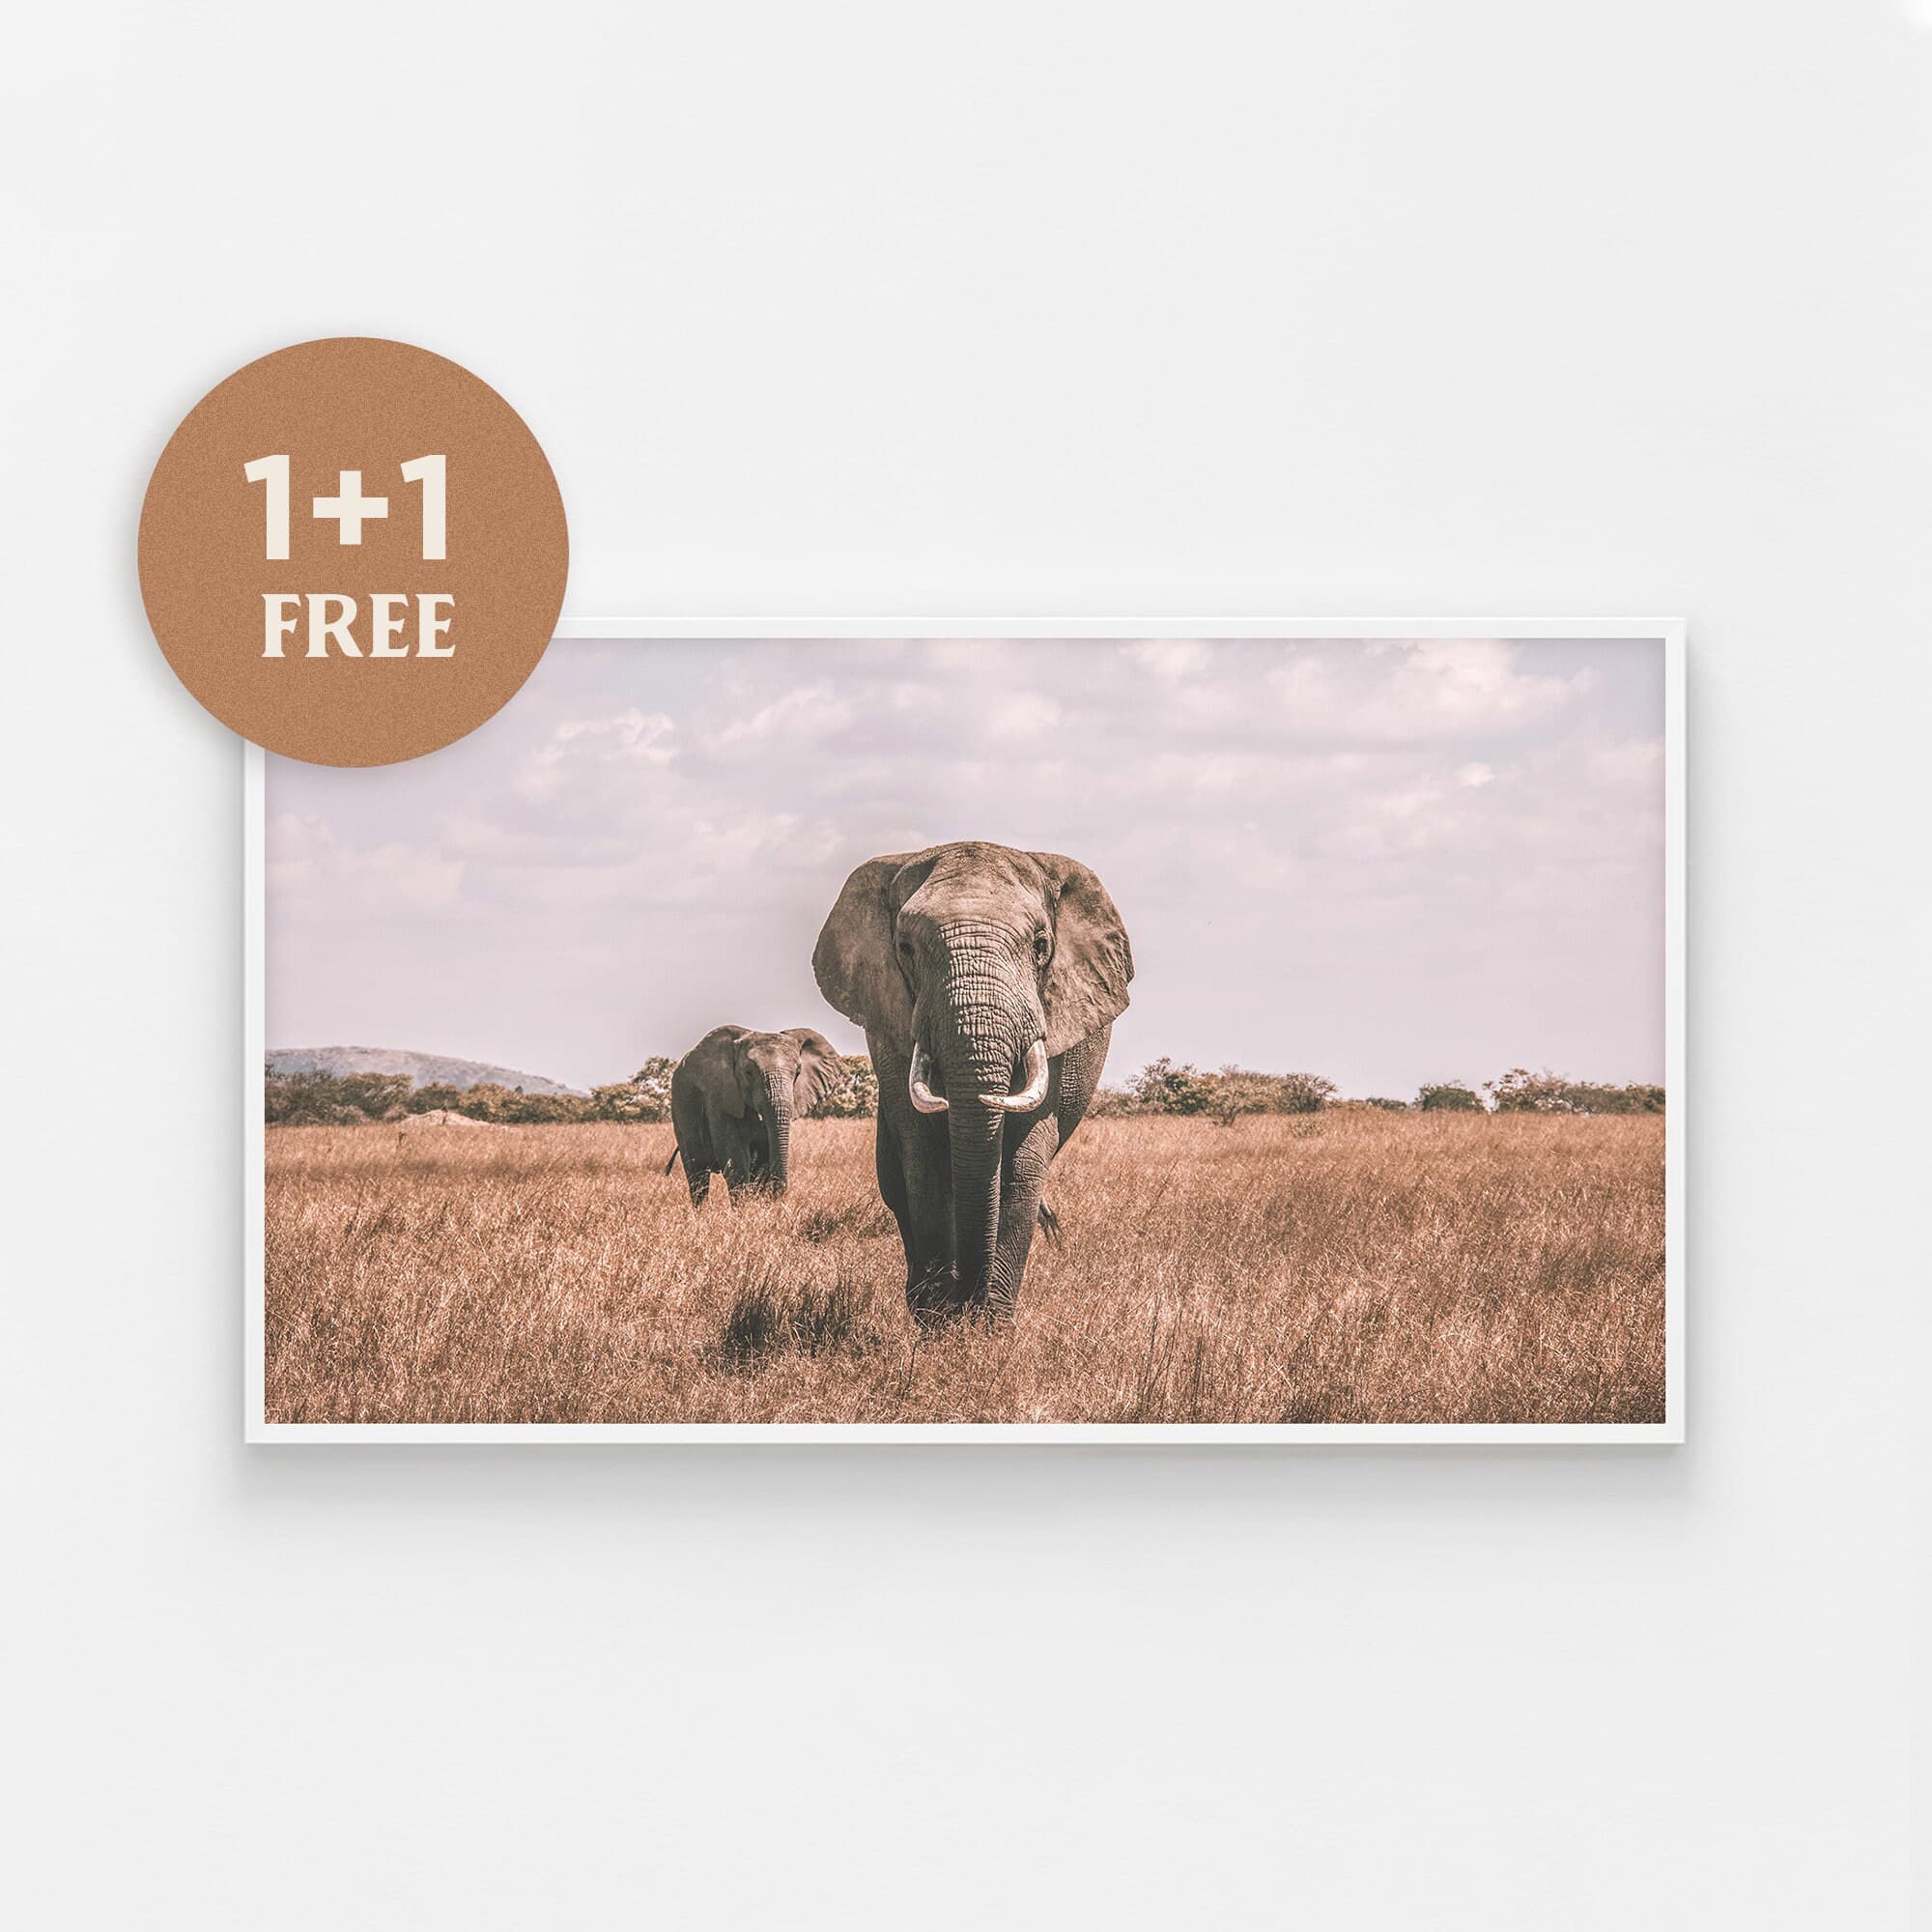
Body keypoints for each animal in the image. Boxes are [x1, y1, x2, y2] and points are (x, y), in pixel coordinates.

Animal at [667, 1026, 841, 1204]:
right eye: (748, 1072)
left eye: (798, 1073)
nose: (777, 1196)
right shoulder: (718, 1097)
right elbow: (734, 1158)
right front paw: (743, 1208)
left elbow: (762, 1160)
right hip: (680, 1110)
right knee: (697, 1173)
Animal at [812, 841, 1132, 1319]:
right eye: (905, 947)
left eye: (1041, 946)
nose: (966, 1299)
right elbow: (923, 1158)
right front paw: (938, 1320)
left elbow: (1022, 1163)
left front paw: (988, 1324)